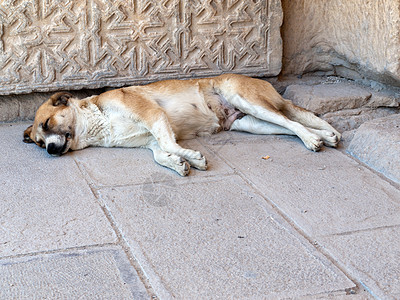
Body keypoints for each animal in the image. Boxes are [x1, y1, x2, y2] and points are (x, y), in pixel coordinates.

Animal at [22, 73, 340, 176]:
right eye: (38, 142)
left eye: (48, 123)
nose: (50, 150)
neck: (97, 121)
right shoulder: (148, 140)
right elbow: (159, 153)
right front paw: (177, 163)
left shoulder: (153, 115)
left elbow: (168, 143)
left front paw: (193, 158)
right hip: (251, 123)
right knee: (288, 124)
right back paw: (324, 135)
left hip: (248, 101)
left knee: (290, 120)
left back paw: (312, 140)